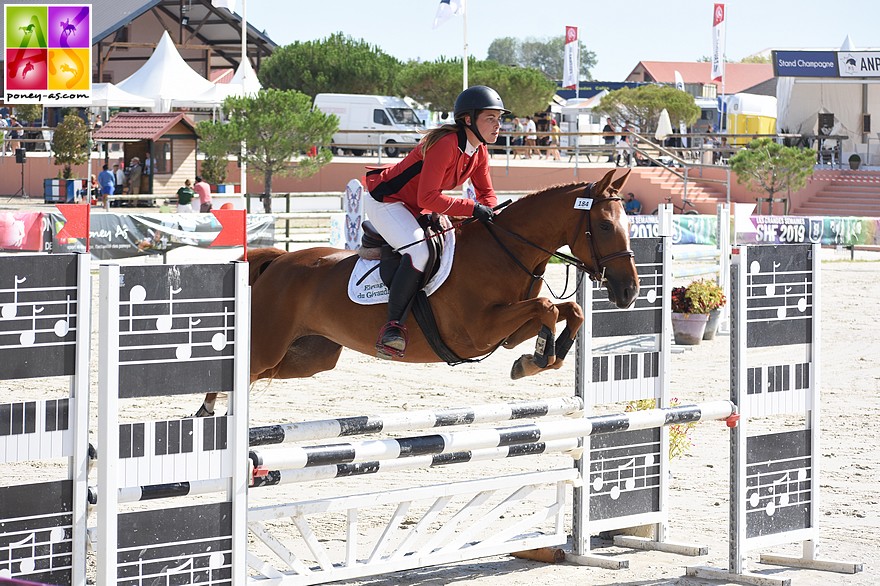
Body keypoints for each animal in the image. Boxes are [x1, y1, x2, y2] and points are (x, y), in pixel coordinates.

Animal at [199, 169, 640, 412]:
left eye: (629, 223)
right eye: (604, 225)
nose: (629, 292)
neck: (505, 249)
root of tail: (278, 261)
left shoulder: (506, 331)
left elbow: (567, 311)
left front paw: (542, 357)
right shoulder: (475, 331)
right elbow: (548, 306)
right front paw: (541, 356)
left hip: (309, 356)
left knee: (261, 375)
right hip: (268, 347)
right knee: (239, 372)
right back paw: (207, 411)